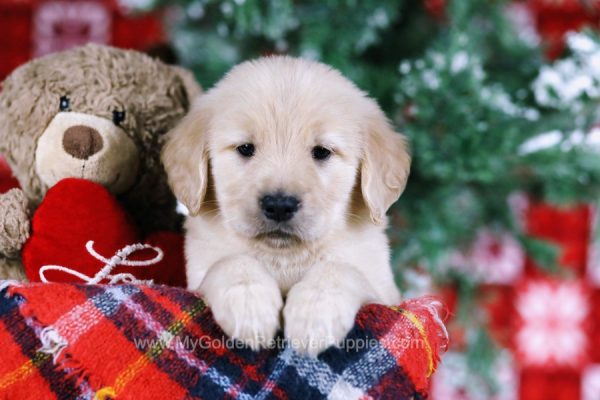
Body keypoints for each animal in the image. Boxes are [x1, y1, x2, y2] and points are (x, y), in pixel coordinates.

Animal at [162, 54, 410, 354]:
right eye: (245, 148)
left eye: (322, 152)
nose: (279, 205)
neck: (284, 257)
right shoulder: (197, 275)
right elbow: (230, 262)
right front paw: (250, 305)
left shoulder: (385, 293)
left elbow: (340, 269)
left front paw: (315, 312)